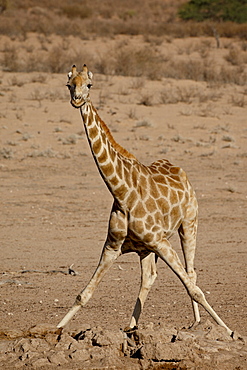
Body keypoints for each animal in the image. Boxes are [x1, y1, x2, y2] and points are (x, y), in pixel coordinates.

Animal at [57, 65, 233, 336]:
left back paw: (196, 322)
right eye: (69, 84)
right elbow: (84, 294)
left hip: (189, 224)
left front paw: (229, 331)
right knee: (149, 277)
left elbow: (194, 288)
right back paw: (132, 328)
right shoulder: (113, 246)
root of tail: (178, 167)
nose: (77, 100)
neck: (122, 193)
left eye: (89, 85)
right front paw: (53, 330)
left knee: (191, 273)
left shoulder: (160, 241)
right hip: (146, 249)